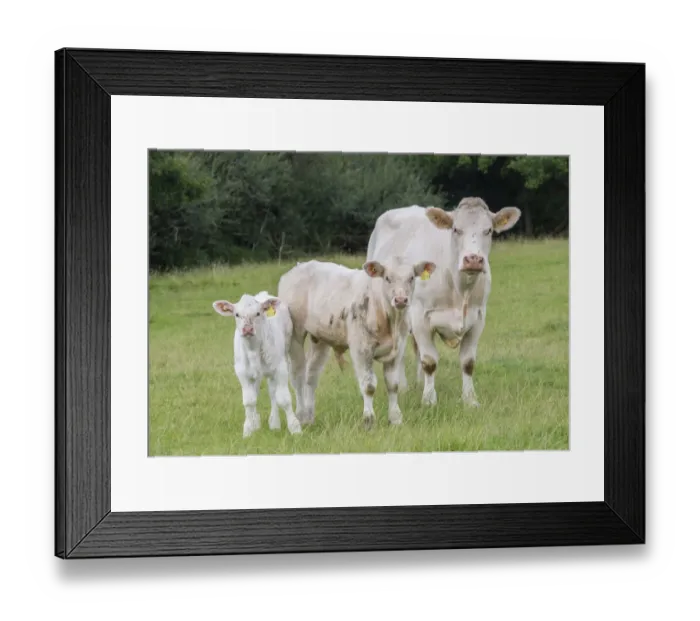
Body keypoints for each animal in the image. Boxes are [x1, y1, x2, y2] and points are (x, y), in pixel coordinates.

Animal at [212, 291, 302, 438]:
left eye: (258, 313)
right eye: (237, 314)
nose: (247, 329)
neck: (253, 349)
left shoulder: (280, 368)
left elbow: (283, 399)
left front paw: (295, 428)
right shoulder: (242, 372)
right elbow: (249, 401)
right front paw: (248, 429)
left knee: (272, 392)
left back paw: (274, 423)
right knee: (257, 391)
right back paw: (256, 423)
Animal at [277, 257, 436, 429]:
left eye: (411, 278)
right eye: (387, 278)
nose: (401, 300)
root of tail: (298, 267)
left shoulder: (397, 350)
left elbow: (393, 385)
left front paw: (395, 419)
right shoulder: (361, 349)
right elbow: (369, 386)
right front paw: (369, 421)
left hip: (319, 338)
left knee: (311, 375)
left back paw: (309, 417)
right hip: (295, 335)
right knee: (297, 376)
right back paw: (300, 416)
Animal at [366, 197, 521, 407]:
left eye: (488, 230)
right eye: (456, 229)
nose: (473, 259)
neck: (460, 289)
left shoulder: (478, 318)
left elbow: (468, 362)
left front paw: (470, 400)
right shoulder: (420, 316)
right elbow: (429, 361)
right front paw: (429, 400)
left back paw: (419, 383)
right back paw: (404, 387)